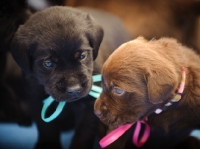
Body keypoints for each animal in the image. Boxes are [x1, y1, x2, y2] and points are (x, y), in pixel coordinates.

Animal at [10, 6, 130, 149]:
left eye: (82, 56)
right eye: (48, 63)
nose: (74, 89)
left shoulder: (89, 106)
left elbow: (83, 133)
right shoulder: (36, 100)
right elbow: (46, 129)